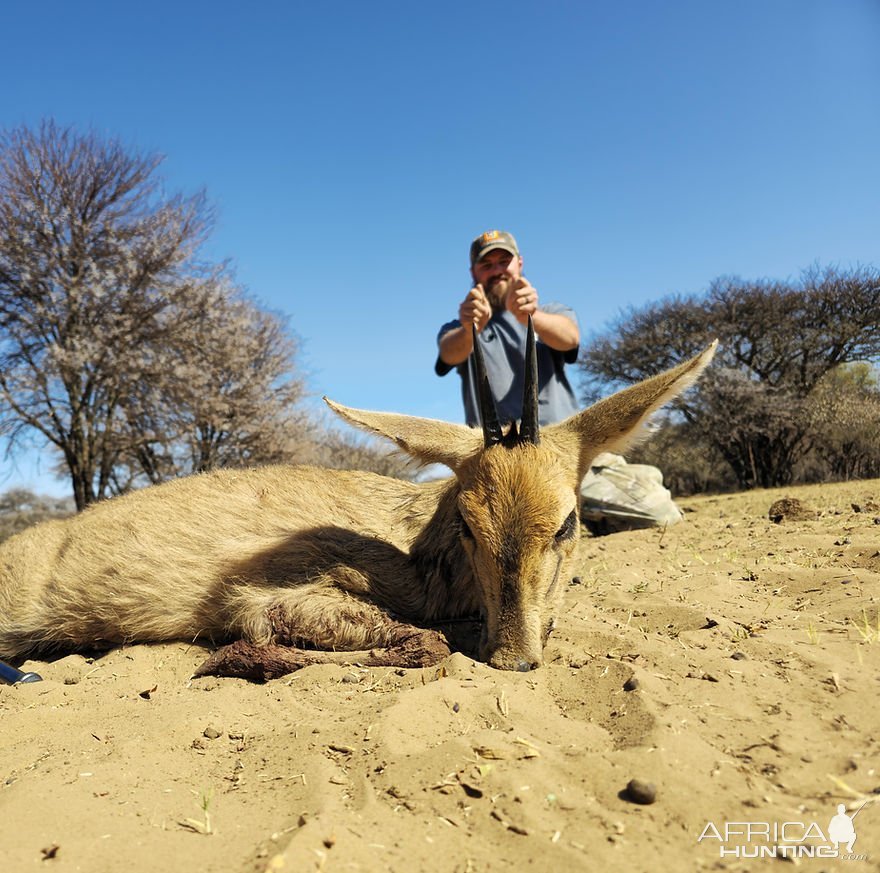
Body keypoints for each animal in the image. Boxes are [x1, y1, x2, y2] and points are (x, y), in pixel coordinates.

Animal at [0, 324, 716, 676]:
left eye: (568, 524)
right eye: (467, 522)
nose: (514, 660)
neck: (421, 554)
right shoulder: (265, 599)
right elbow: (427, 641)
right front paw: (234, 659)